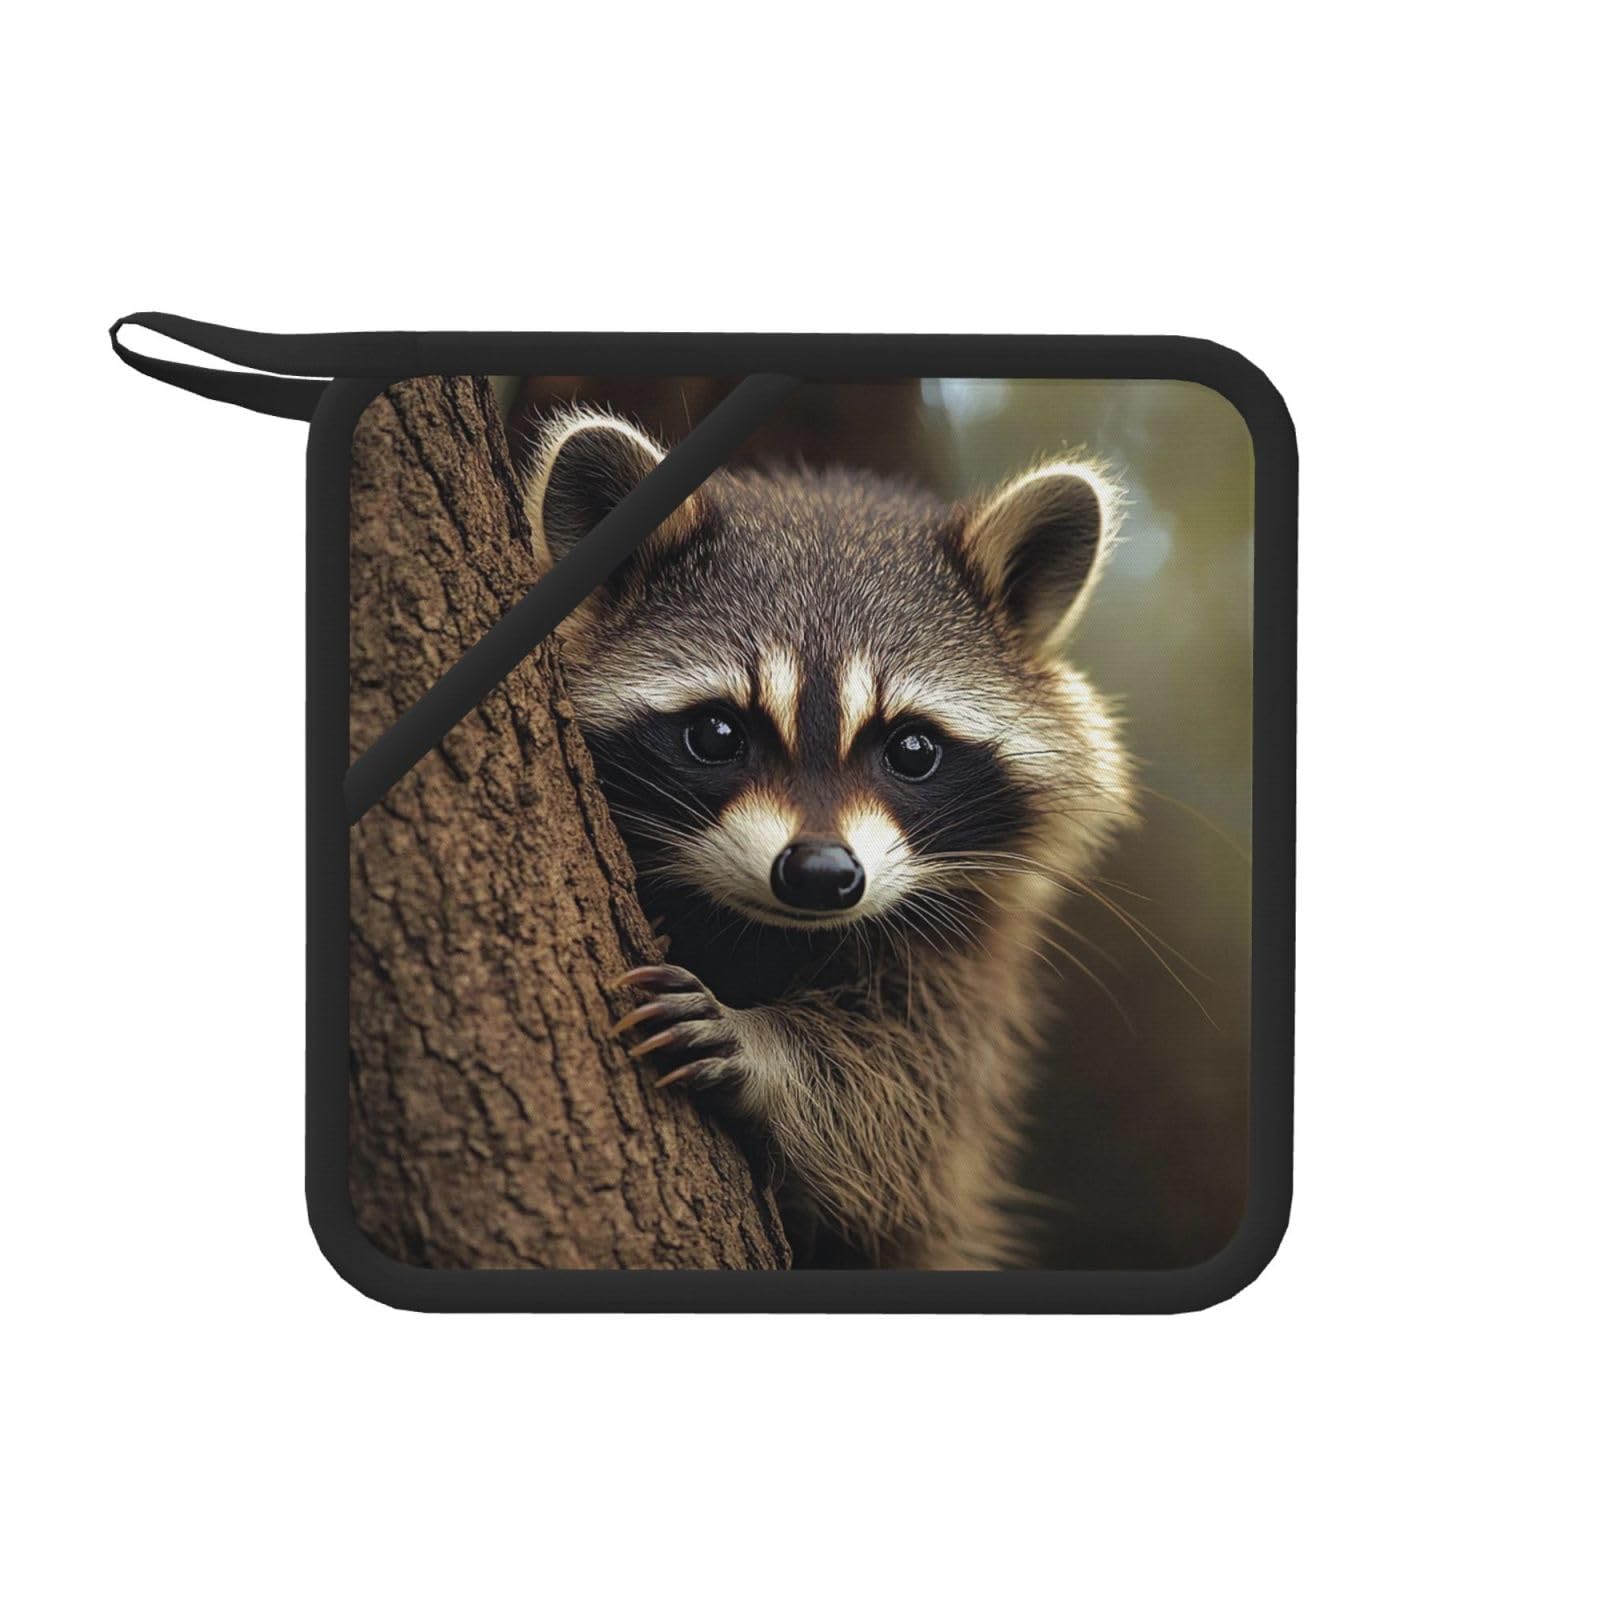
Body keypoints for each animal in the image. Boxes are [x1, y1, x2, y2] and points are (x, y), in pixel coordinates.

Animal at [524, 407, 1135, 1268]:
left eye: (912, 749)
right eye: (716, 734)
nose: (818, 873)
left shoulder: (965, 962)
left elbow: (902, 1114)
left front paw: (764, 1052)